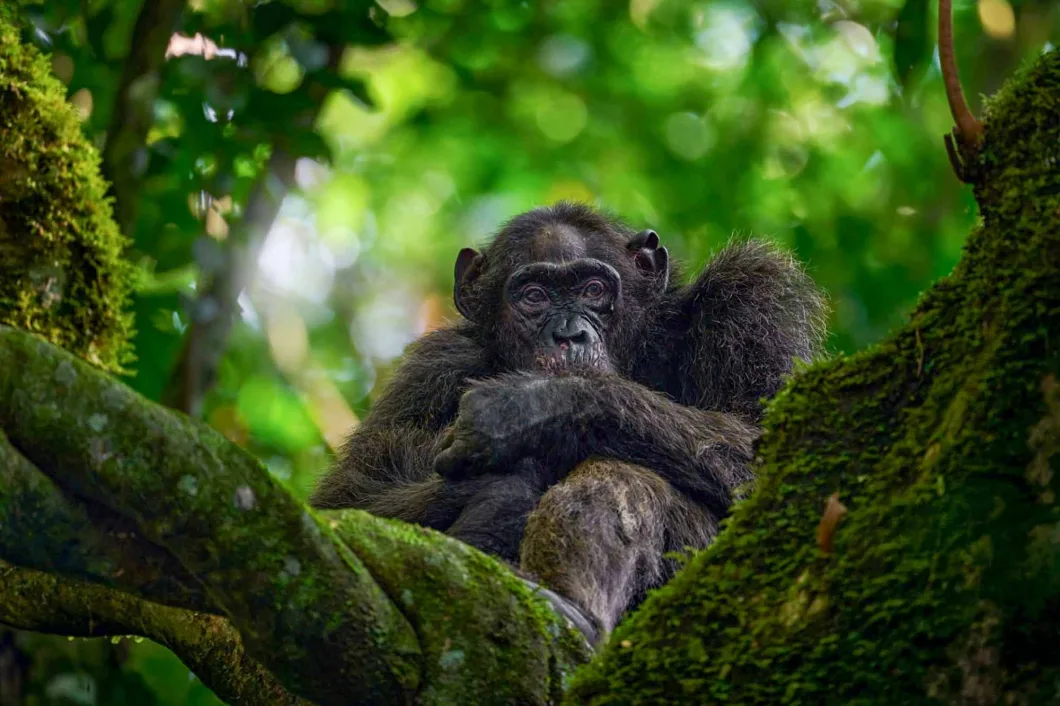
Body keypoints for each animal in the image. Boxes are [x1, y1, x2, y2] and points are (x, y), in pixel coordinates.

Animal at [311, 202, 828, 643]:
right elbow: (350, 497)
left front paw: (528, 409)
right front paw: (499, 486)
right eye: (534, 296)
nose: (568, 334)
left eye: (593, 290)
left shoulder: (748, 297)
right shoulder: (432, 368)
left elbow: (765, 444)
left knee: (628, 480)